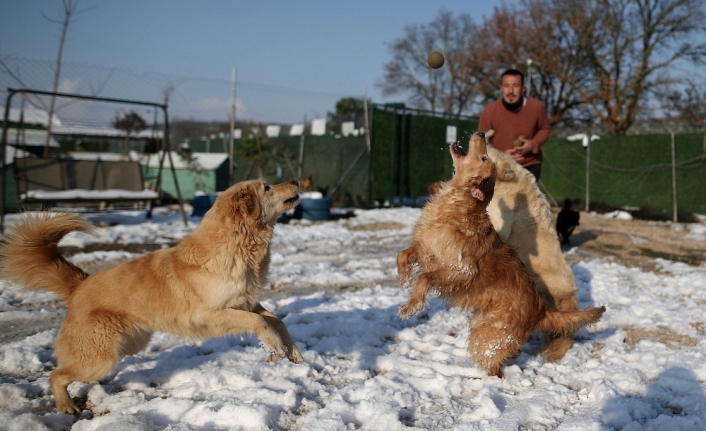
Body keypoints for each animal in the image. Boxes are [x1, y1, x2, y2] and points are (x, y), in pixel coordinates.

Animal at [0, 180, 302, 416]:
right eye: (267, 187)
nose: (297, 182)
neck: (236, 245)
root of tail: (79, 285)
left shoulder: (246, 302)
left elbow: (277, 320)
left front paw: (292, 352)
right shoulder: (210, 314)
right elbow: (259, 323)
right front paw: (275, 347)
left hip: (130, 344)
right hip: (99, 361)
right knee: (56, 374)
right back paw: (65, 405)